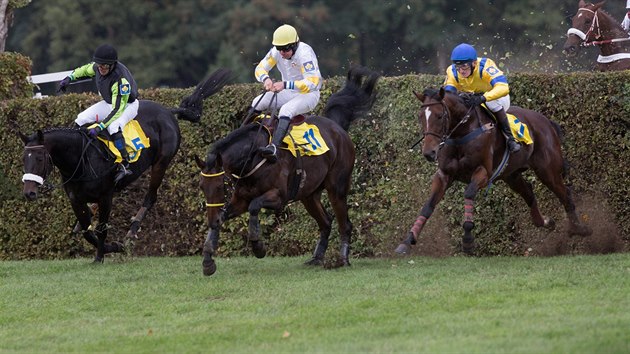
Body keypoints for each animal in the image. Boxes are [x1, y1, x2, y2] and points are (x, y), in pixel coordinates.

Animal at [18, 68, 233, 262]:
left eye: (39, 159)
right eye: (24, 159)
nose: (29, 192)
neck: (81, 159)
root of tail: (167, 111)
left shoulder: (105, 197)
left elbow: (101, 229)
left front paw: (103, 254)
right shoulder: (76, 200)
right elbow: (87, 230)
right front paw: (108, 246)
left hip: (161, 163)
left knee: (150, 197)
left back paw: (131, 232)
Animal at [195, 66, 380, 276]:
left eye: (220, 187)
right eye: (202, 187)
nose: (211, 220)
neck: (254, 156)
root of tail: (338, 128)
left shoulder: (279, 197)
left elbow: (254, 206)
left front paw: (258, 246)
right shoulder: (241, 199)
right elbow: (227, 214)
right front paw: (208, 259)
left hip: (337, 189)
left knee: (345, 224)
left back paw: (342, 259)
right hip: (309, 195)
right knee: (325, 222)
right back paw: (316, 258)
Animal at [398, 88, 596, 254]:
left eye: (440, 116)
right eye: (420, 117)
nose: (429, 152)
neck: (462, 133)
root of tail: (546, 121)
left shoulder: (484, 172)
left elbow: (469, 193)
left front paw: (468, 239)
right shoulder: (444, 175)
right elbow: (428, 205)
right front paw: (408, 240)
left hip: (548, 171)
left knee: (565, 194)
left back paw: (579, 229)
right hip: (512, 175)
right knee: (530, 193)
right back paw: (546, 221)